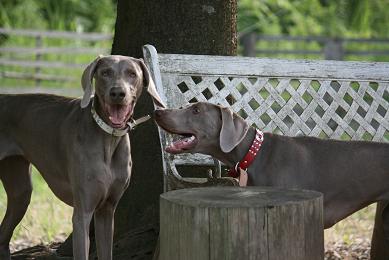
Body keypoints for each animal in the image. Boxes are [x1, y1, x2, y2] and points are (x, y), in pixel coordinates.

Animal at [0, 53, 164, 258]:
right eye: (105, 72)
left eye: (132, 74)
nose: (118, 93)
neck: (108, 138)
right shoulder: (82, 213)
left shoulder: (106, 211)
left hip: (20, 191)